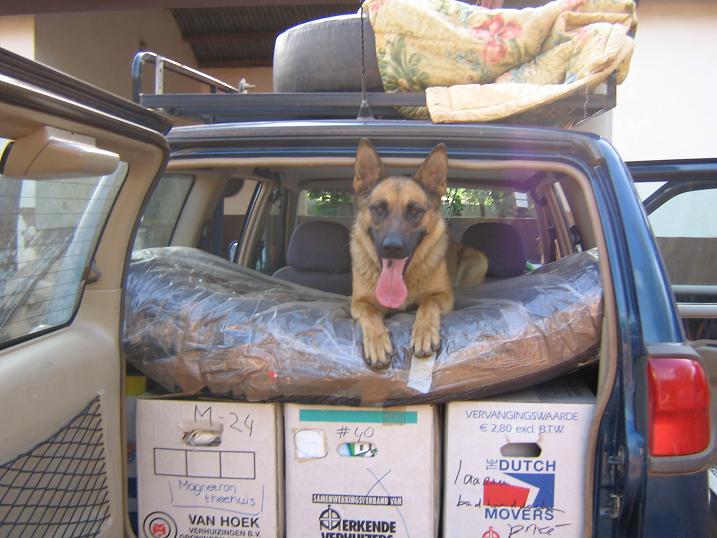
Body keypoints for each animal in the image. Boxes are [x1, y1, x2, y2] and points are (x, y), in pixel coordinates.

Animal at [352, 138, 486, 366]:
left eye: (415, 211)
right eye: (379, 208)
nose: (393, 247)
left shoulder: (444, 295)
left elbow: (428, 301)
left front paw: (423, 333)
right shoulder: (357, 302)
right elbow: (369, 312)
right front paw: (377, 341)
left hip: (478, 259)